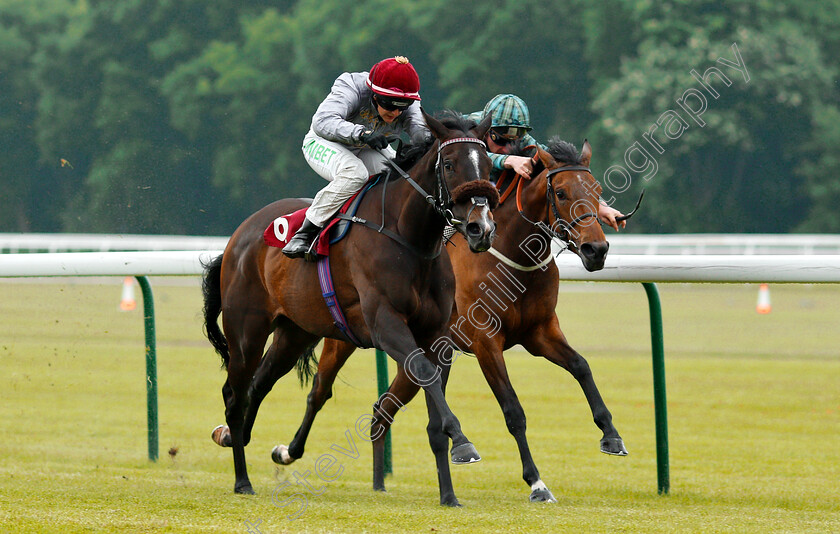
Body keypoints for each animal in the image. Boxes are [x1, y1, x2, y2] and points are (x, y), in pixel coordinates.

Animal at [204, 111, 502, 496]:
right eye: (449, 165)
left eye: (489, 167)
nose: (482, 229)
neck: (409, 239)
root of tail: (239, 235)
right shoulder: (385, 323)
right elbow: (423, 373)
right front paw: (463, 444)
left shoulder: (437, 333)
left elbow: (433, 407)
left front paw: (449, 493)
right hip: (246, 331)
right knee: (235, 395)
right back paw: (242, 479)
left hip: (295, 332)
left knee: (259, 384)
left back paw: (234, 439)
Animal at [256, 138, 632, 506]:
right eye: (562, 193)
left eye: (597, 191)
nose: (597, 249)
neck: (513, 254)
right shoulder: (485, 340)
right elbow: (513, 410)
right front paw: (536, 483)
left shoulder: (540, 332)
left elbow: (581, 366)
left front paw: (612, 436)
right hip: (344, 337)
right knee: (319, 392)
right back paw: (286, 451)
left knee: (382, 407)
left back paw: (379, 483)